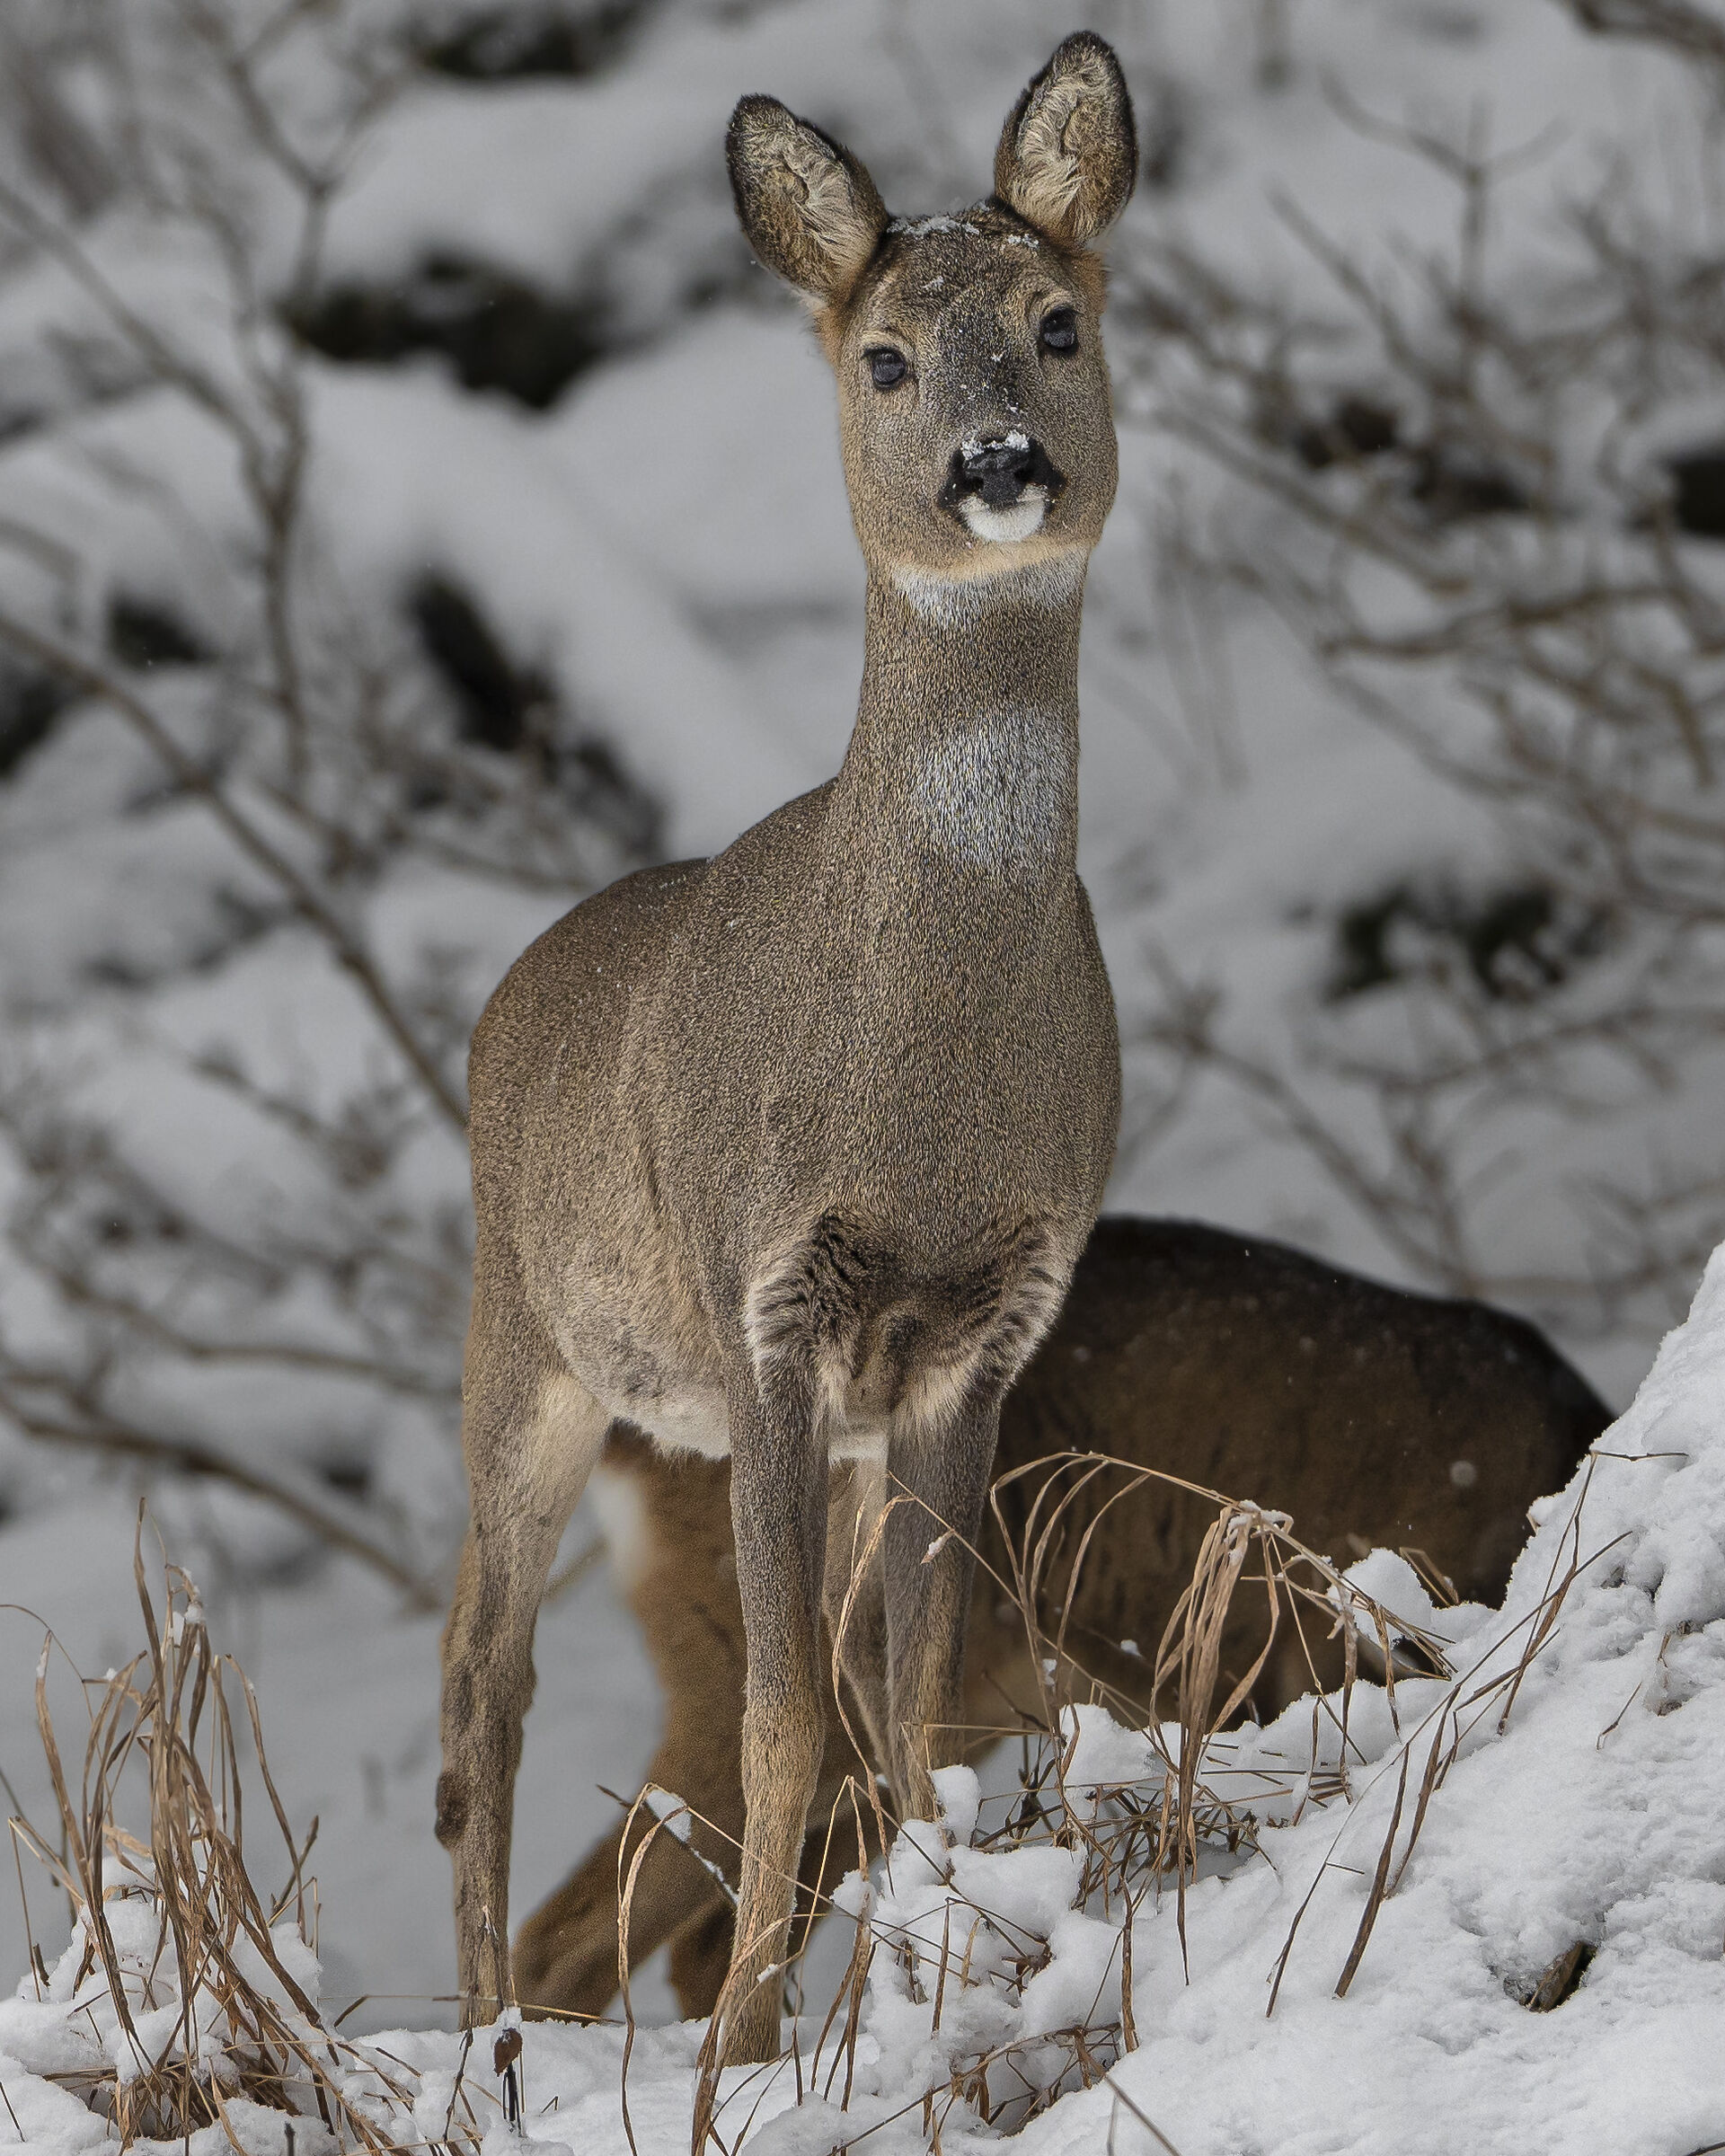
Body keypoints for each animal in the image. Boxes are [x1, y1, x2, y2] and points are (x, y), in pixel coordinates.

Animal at [436, 32, 1142, 2078]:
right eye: (885, 359)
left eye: (1060, 322)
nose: (1001, 465)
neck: (926, 1100)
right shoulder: (762, 1301)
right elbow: (775, 1721)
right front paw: (752, 2054)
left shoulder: (978, 1333)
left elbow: (911, 1692)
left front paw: (933, 1974)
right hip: (524, 1333)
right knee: (478, 1678)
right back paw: (485, 2043)